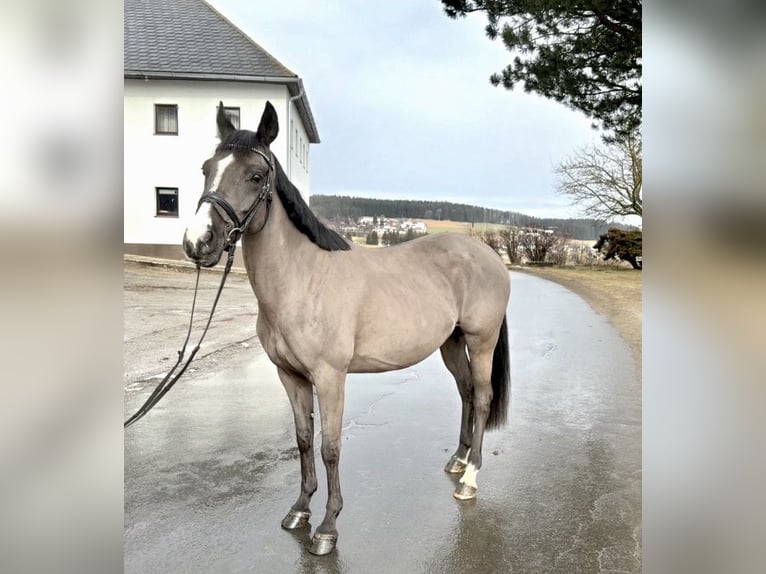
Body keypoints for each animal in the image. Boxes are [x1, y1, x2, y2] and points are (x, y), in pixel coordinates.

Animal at [182, 101, 511, 555]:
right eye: (206, 168)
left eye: (255, 176)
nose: (199, 243)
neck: (302, 279)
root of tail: (490, 255)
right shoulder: (291, 376)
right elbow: (304, 439)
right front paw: (300, 509)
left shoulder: (330, 377)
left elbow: (330, 447)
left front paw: (327, 528)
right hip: (451, 343)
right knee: (465, 392)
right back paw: (457, 461)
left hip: (481, 343)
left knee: (481, 399)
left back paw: (470, 478)